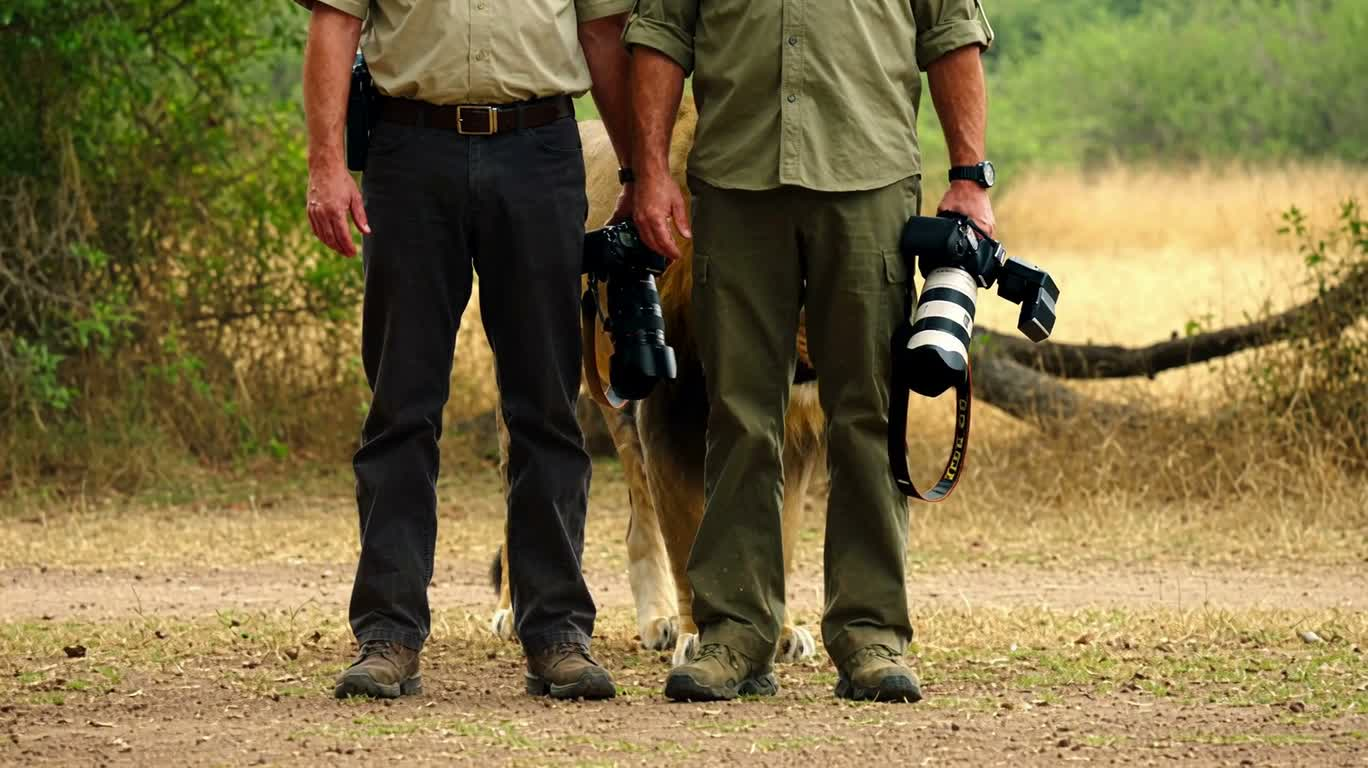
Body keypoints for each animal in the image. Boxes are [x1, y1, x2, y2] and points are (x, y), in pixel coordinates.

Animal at [490, 97, 827, 666]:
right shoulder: (667, 412)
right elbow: (686, 534)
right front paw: (700, 634)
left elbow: (778, 536)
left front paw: (779, 631)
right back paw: (514, 614)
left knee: (635, 518)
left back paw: (658, 618)